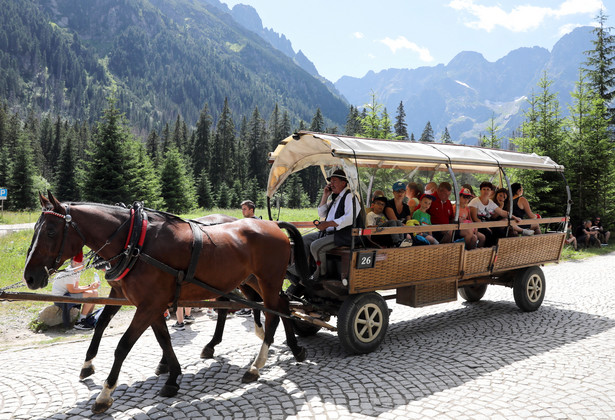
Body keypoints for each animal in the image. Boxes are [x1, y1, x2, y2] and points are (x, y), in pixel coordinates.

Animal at [24, 193, 310, 414]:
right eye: (35, 229)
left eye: (50, 231)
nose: (29, 276)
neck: (136, 241)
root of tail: (273, 224)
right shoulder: (140, 300)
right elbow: (155, 336)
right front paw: (171, 376)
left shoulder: (149, 304)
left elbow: (123, 345)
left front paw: (105, 394)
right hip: (250, 280)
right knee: (281, 306)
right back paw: (293, 348)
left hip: (267, 280)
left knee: (273, 313)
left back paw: (256, 365)